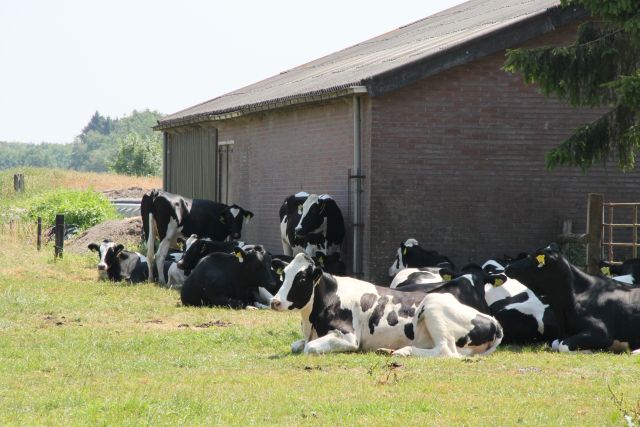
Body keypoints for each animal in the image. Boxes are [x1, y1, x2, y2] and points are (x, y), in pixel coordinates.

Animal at [268, 254, 502, 358]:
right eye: (284, 274)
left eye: (301, 278)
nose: (275, 301)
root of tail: (492, 320)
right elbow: (297, 345)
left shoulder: (349, 337)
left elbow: (309, 348)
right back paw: (387, 350)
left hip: (433, 306)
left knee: (446, 351)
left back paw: (403, 352)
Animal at [504, 244, 640, 354]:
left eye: (534, 258)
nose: (508, 267)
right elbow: (556, 344)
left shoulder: (602, 333)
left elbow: (563, 346)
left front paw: (589, 350)